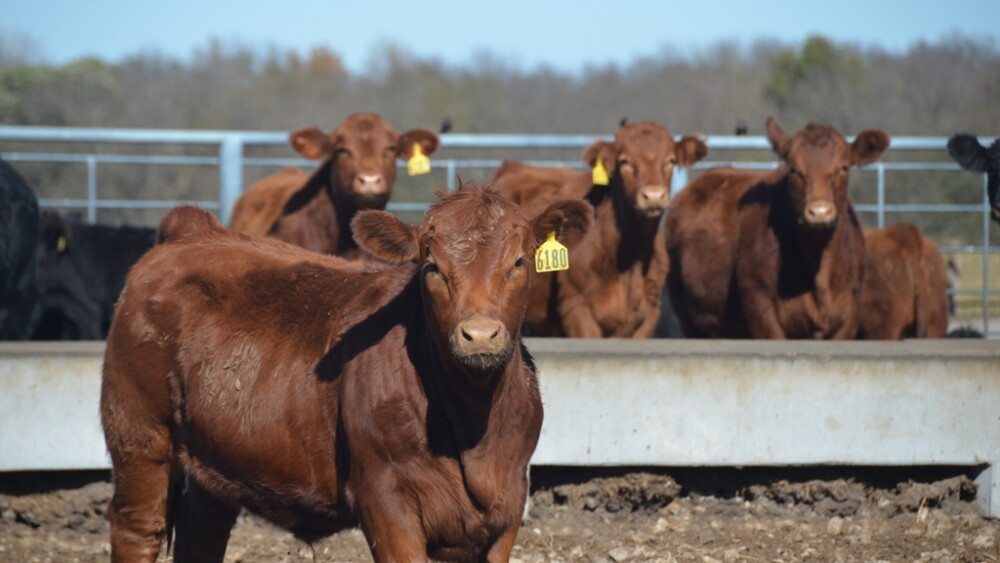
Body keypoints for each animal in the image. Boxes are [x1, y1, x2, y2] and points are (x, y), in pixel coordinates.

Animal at [100, 186, 592, 563]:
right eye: (432, 267)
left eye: (519, 263)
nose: (480, 334)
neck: (474, 432)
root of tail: (192, 230)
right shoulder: (386, 502)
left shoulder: (508, 504)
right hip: (139, 435)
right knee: (138, 528)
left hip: (213, 457)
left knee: (203, 533)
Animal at [491, 120, 708, 337]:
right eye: (624, 161)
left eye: (671, 160)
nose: (653, 195)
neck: (630, 258)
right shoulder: (577, 308)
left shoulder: (648, 316)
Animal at [666, 117, 890, 339]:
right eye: (794, 169)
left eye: (843, 168)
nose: (819, 212)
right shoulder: (760, 307)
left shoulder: (850, 314)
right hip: (689, 316)